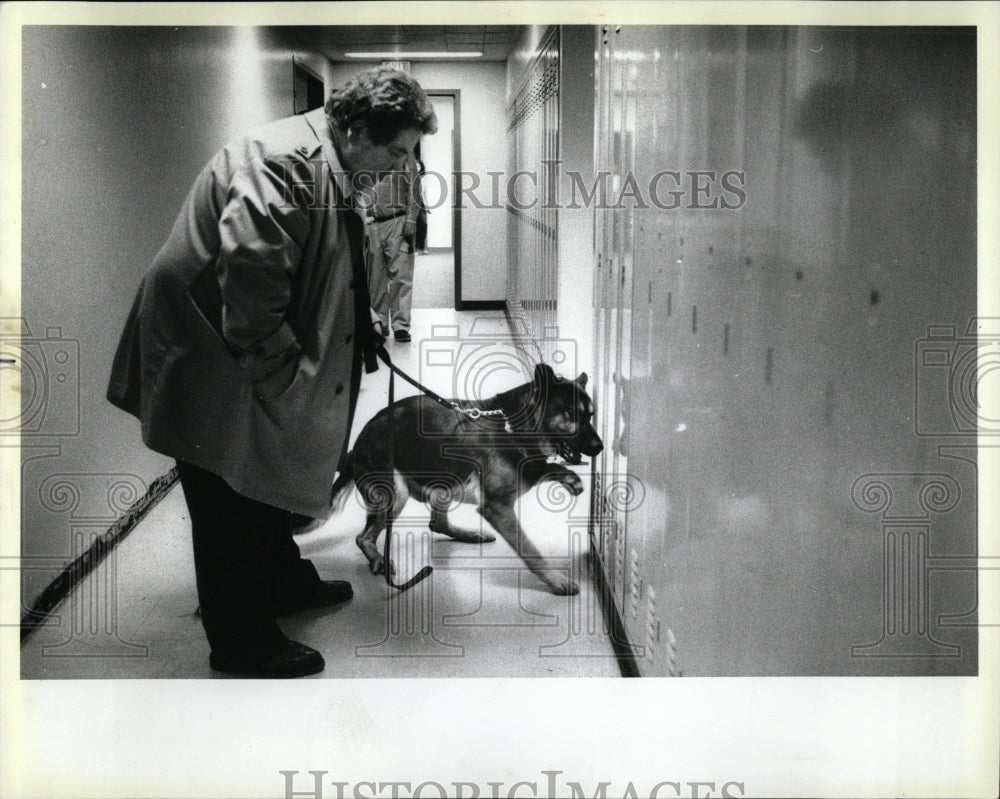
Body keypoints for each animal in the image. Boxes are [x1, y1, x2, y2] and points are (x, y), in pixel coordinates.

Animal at [332, 366, 604, 596]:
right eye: (571, 413)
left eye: (590, 415)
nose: (599, 448)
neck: (512, 427)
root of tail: (354, 447)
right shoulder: (498, 508)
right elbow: (530, 550)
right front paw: (556, 580)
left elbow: (546, 467)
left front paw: (568, 477)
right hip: (396, 494)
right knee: (363, 537)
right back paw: (378, 559)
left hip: (444, 481)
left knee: (437, 523)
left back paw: (470, 535)